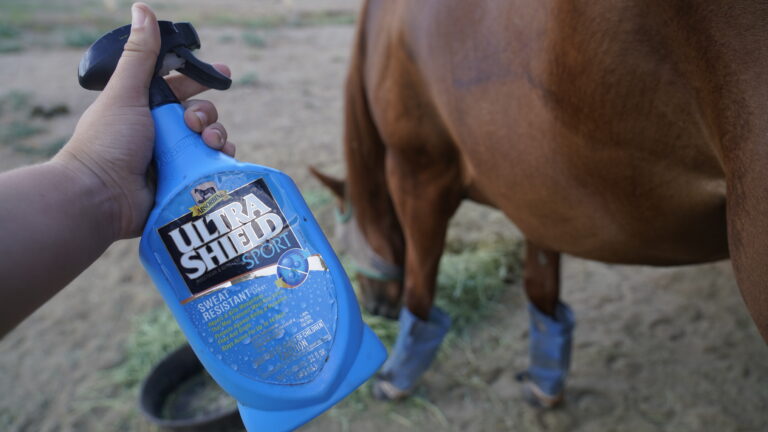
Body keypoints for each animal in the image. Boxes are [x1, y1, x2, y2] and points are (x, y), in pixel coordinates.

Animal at [311, 0, 768, 406]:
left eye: (338, 244)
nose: (375, 307)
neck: (386, 29)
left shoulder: (418, 172)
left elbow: (420, 288)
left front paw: (397, 376)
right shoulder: (537, 192)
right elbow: (540, 286)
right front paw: (545, 382)